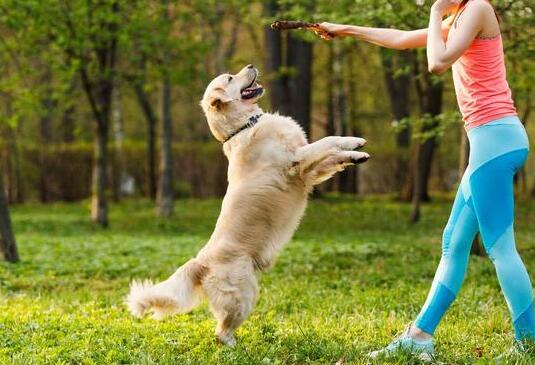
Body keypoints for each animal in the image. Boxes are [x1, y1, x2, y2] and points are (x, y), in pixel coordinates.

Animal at [126, 64, 370, 346]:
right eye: (230, 78)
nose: (251, 66)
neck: (244, 126)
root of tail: (201, 262)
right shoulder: (295, 162)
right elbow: (327, 141)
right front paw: (352, 144)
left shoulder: (308, 173)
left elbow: (334, 153)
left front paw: (356, 152)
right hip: (242, 295)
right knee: (220, 333)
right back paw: (236, 347)